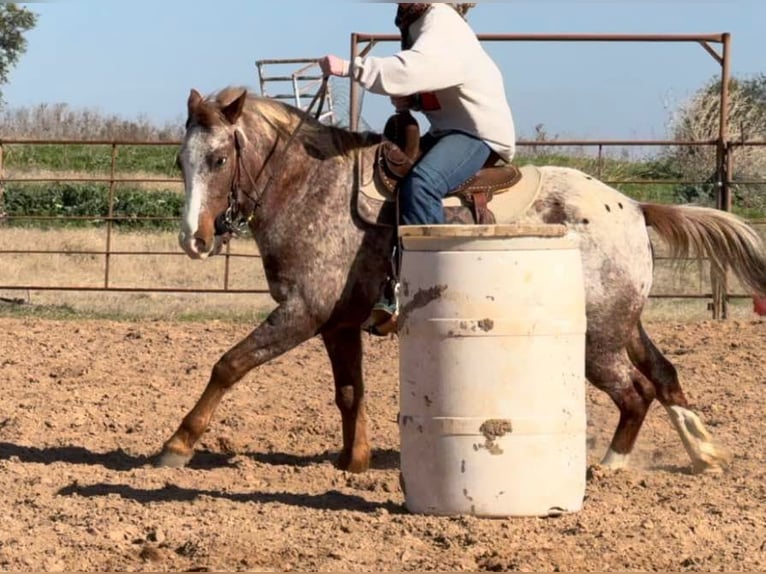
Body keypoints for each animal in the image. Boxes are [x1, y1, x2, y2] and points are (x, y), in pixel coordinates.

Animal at [159, 85, 766, 476]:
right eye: (182, 161)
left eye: (217, 159)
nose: (194, 238)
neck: (311, 187)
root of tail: (634, 207)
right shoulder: (337, 323)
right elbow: (350, 392)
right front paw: (354, 461)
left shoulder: (300, 313)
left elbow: (229, 364)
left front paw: (177, 443)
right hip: (623, 325)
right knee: (663, 375)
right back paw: (704, 455)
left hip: (597, 340)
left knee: (635, 391)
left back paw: (612, 465)